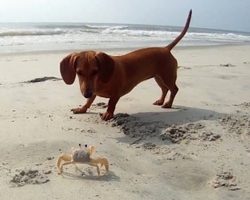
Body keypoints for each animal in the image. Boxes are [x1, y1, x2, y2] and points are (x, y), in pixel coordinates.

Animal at [60, 10, 191, 120]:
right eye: (78, 72)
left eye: (95, 71)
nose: (86, 94)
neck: (102, 80)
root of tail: (166, 49)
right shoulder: (93, 91)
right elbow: (89, 102)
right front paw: (82, 109)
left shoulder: (115, 94)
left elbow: (111, 103)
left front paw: (108, 114)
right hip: (158, 77)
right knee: (165, 89)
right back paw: (161, 101)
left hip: (167, 77)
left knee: (174, 89)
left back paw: (168, 104)